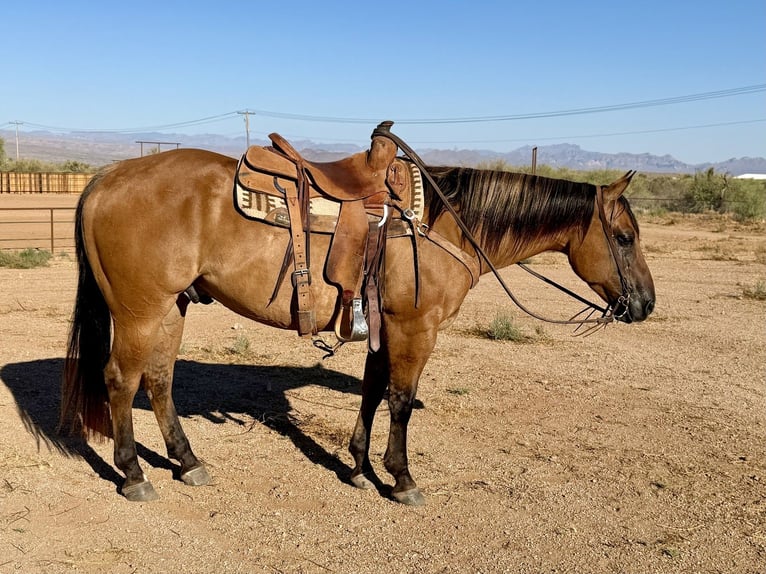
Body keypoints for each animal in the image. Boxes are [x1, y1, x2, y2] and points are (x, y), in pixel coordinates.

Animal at [61, 145, 655, 506]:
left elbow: (372, 392)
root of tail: (106, 178)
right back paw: (134, 476)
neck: (443, 224)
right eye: (625, 237)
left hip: (171, 308)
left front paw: (357, 466)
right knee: (121, 380)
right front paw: (402, 478)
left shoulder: (384, 326)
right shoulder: (416, 327)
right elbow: (400, 400)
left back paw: (187, 462)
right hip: (139, 311)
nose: (646, 304)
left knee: (159, 381)